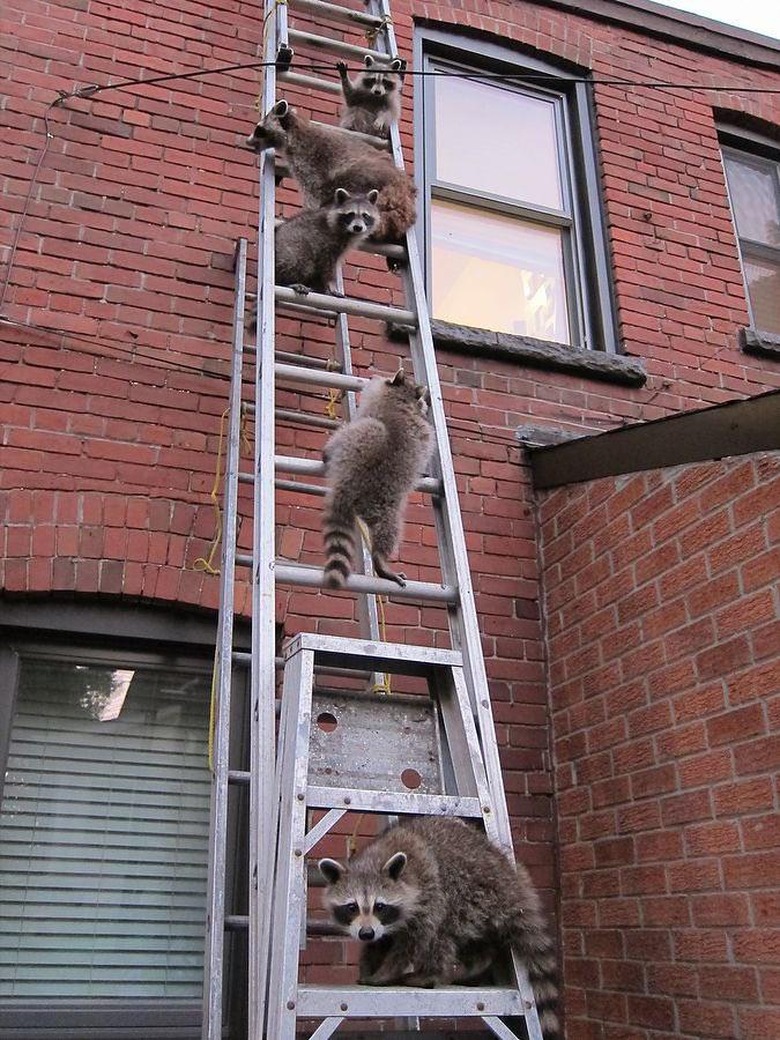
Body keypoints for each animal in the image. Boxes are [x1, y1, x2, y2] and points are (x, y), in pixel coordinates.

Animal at [245, 101, 418, 243]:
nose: (248, 141)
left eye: (259, 129)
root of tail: (404, 189)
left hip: (367, 179)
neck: (295, 129)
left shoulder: (309, 162)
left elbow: (314, 194)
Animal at [318, 815, 561, 1035]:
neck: (374, 860)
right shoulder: (382, 925)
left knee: (442, 932)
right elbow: (381, 942)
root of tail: (511, 881)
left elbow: (412, 941)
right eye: (352, 907)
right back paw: (479, 962)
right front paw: (369, 961)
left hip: (474, 892)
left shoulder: (427, 891)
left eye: (380, 906)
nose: (366, 933)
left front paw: (385, 972)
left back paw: (430, 974)